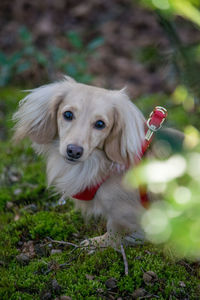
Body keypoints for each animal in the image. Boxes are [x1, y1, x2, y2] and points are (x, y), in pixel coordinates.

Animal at [12, 75, 183, 248]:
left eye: (100, 124)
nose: (74, 151)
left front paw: (100, 243)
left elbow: (115, 229)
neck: (98, 166)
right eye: (67, 114)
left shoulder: (124, 212)